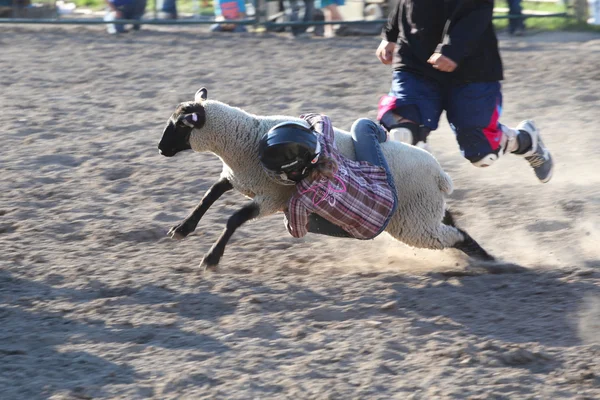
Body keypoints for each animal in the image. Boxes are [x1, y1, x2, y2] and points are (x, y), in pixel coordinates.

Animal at [158, 87, 492, 268]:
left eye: (179, 125)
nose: (161, 149)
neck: (246, 139)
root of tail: (440, 175)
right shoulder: (236, 178)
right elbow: (207, 197)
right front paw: (182, 229)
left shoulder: (273, 197)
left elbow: (233, 219)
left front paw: (211, 258)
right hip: (425, 211)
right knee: (454, 225)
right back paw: (485, 258)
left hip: (414, 222)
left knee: (452, 236)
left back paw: (490, 261)